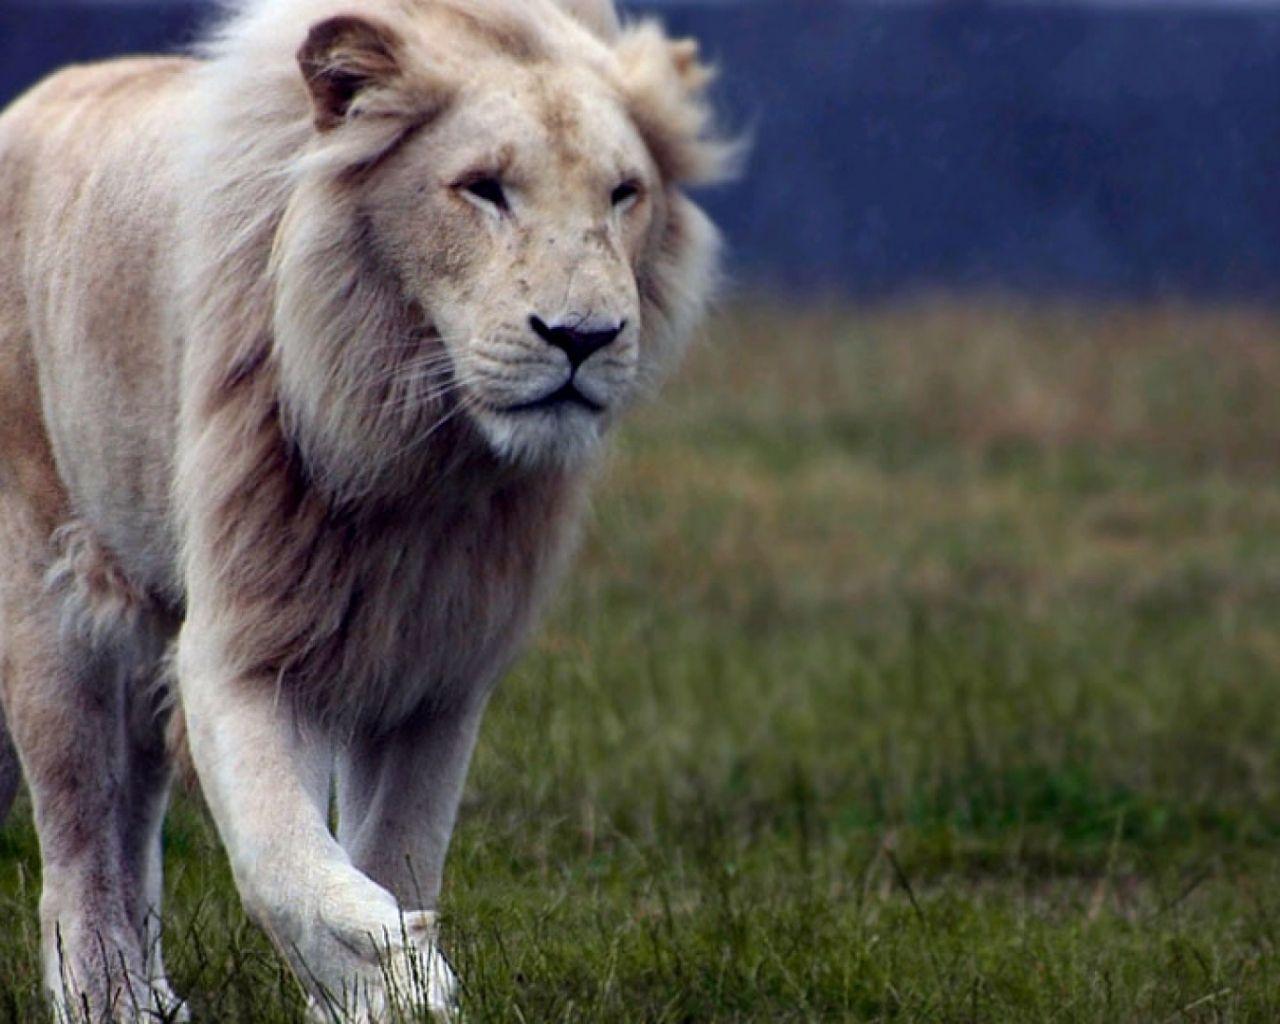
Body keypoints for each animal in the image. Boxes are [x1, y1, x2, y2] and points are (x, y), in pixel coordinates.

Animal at [0, 0, 729, 1018]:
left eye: (624, 194)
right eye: (483, 189)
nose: (584, 338)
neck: (418, 451)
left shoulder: (438, 662)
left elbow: (402, 847)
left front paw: (387, 988)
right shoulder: (248, 640)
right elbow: (282, 855)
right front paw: (391, 966)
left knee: (129, 811)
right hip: (46, 586)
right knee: (76, 830)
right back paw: (110, 1000)